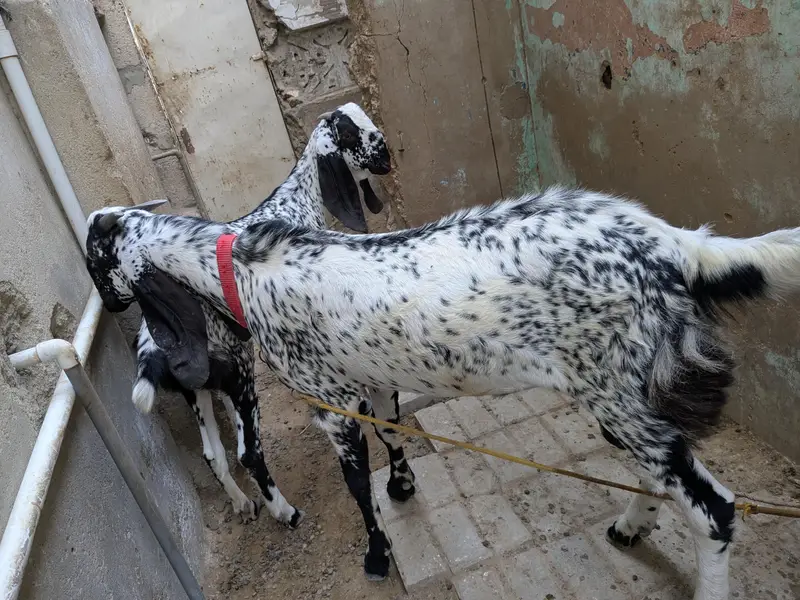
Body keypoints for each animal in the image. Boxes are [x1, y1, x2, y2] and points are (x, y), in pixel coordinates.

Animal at [84, 186, 800, 599]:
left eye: (95, 260)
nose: (108, 305)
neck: (240, 265)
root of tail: (678, 246)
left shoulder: (328, 401)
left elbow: (356, 486)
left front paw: (376, 556)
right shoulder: (374, 380)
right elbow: (392, 435)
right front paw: (403, 487)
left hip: (615, 392)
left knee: (714, 508)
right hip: (625, 395)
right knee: (663, 473)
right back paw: (630, 526)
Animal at [120, 103, 397, 527]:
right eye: (352, 135)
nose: (387, 158)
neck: (297, 199)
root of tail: (151, 345)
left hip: (197, 387)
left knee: (213, 454)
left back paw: (243, 504)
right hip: (239, 368)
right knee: (247, 453)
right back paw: (285, 511)